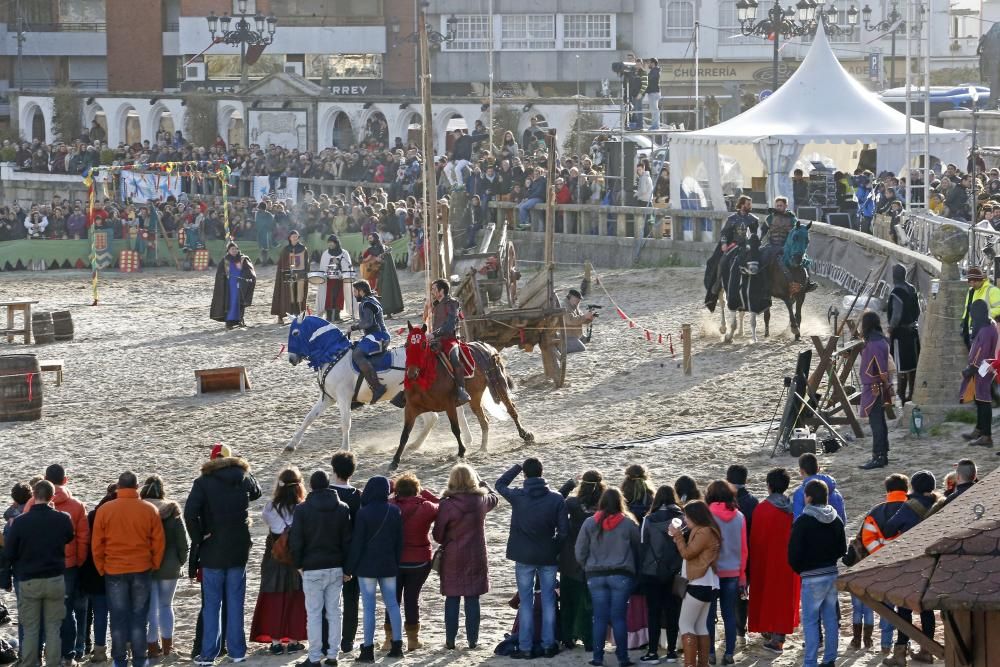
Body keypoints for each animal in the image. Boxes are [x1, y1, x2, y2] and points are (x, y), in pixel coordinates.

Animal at [282, 314, 468, 452]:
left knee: (436, 416)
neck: (333, 354)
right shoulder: (328, 398)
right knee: (432, 418)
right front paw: (291, 444)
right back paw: (415, 445)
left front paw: (344, 449)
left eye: (296, 333)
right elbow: (309, 418)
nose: (291, 359)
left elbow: (345, 423)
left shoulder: (343, 397)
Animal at [388, 322, 536, 470]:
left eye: (424, 344)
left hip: (499, 384)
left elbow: (455, 429)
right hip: (475, 398)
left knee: (511, 410)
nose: (412, 373)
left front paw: (461, 451)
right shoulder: (411, 409)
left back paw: (525, 435)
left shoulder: (449, 405)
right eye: (407, 344)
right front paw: (395, 460)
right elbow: (404, 435)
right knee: (484, 421)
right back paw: (483, 448)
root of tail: (488, 347)